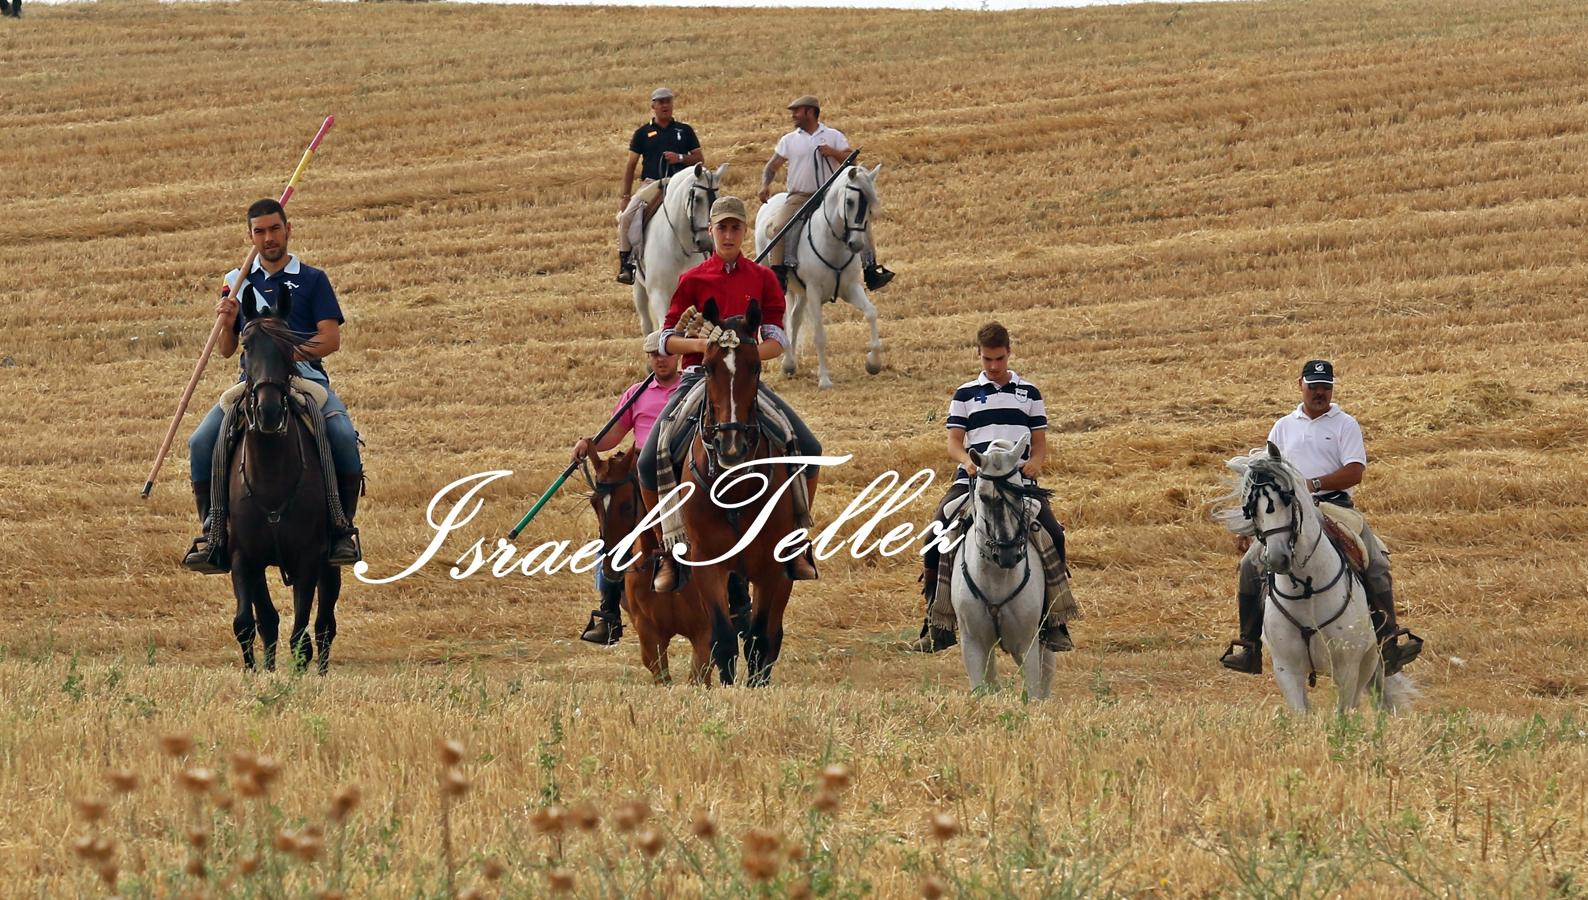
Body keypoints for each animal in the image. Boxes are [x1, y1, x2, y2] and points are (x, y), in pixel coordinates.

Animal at [225, 303, 339, 676]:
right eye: (246, 345)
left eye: (289, 346)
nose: (269, 411)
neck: (271, 476)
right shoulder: (244, 557)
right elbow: (252, 622)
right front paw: (258, 673)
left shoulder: (309, 557)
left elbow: (301, 632)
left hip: (330, 562)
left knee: (325, 623)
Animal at [587, 447, 717, 685]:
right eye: (594, 503)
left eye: (627, 505)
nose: (611, 569)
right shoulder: (649, 636)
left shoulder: (705, 633)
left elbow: (699, 677)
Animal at [635, 161, 727, 334]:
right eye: (697, 199)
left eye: (717, 199)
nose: (707, 242)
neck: (678, 247)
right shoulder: (659, 293)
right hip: (638, 285)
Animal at [752, 163, 889, 388]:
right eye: (850, 201)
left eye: (870, 203)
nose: (856, 244)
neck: (833, 245)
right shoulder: (814, 292)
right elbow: (819, 334)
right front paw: (824, 379)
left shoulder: (851, 288)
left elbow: (871, 313)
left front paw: (873, 363)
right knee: (783, 319)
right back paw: (788, 361)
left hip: (801, 292)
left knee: (795, 317)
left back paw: (790, 364)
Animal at [940, 434, 1054, 698]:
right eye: (983, 496)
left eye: (1019, 494)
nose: (1008, 554)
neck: (996, 577)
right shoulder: (973, 643)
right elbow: (981, 688)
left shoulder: (1027, 641)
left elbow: (1034, 691)